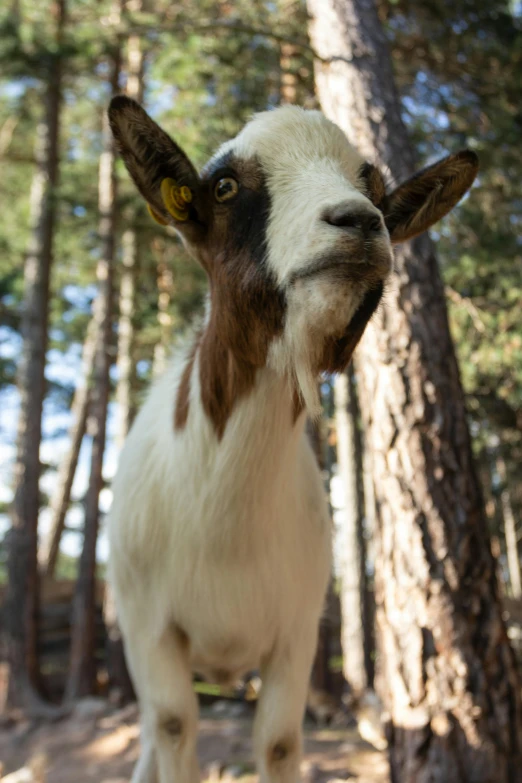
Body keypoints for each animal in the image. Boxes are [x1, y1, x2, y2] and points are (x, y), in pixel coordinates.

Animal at [105, 98, 476, 783]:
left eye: (375, 191)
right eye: (224, 187)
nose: (360, 223)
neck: (223, 532)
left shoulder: (297, 632)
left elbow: (278, 742)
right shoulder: (149, 632)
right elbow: (174, 726)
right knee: (151, 733)